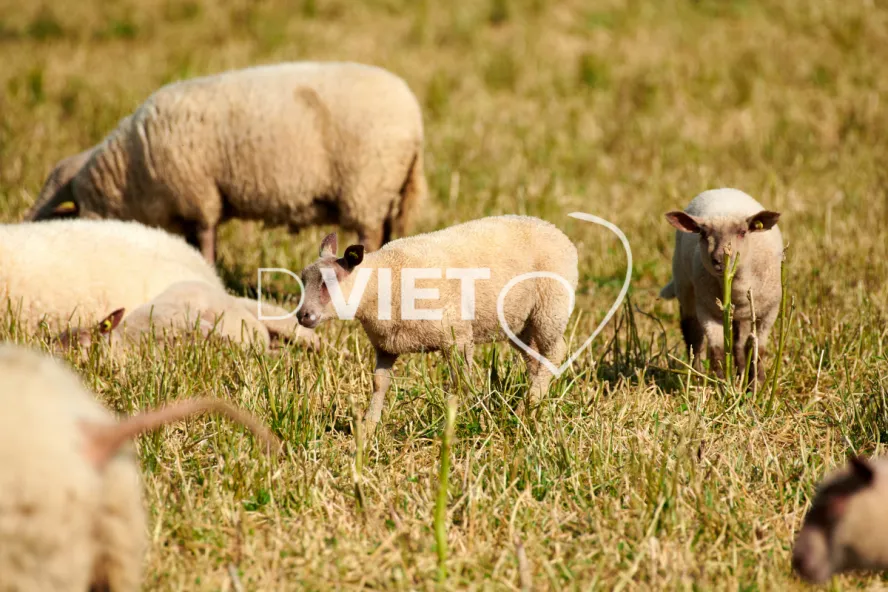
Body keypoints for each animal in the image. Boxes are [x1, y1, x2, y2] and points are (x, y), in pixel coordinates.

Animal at [25, 61, 428, 263]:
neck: (130, 172)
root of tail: (414, 117)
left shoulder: (198, 196)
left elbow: (205, 237)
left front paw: (207, 268)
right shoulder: (191, 202)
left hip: (367, 189)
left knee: (369, 234)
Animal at [296, 215, 579, 432]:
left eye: (329, 282)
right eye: (303, 279)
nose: (303, 316)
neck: (383, 282)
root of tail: (558, 233)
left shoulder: (457, 335)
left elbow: (459, 382)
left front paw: (453, 423)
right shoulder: (385, 345)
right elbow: (379, 384)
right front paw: (368, 425)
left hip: (550, 307)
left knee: (555, 351)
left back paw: (526, 406)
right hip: (520, 323)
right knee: (535, 358)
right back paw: (532, 403)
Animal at [659, 188, 783, 386]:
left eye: (742, 232)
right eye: (702, 233)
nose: (719, 259)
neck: (736, 288)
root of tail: (721, 190)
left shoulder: (769, 311)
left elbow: (756, 348)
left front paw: (757, 385)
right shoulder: (708, 310)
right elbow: (717, 350)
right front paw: (721, 385)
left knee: (739, 344)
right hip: (685, 286)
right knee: (693, 334)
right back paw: (697, 376)